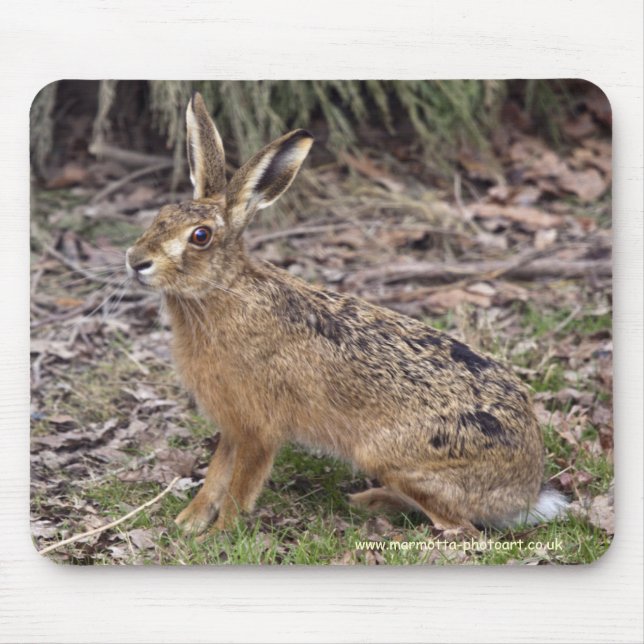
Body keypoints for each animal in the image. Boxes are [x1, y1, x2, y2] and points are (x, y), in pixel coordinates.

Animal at [125, 91, 568, 536]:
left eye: (200, 236)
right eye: (161, 215)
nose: (135, 260)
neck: (222, 290)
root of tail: (523, 492)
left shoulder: (258, 428)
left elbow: (240, 484)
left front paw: (221, 533)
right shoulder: (232, 426)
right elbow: (216, 474)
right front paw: (190, 522)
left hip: (394, 456)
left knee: (461, 527)